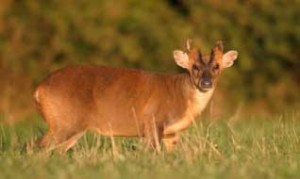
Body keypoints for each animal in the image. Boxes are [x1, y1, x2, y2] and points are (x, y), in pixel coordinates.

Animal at [34, 40, 238, 152]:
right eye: (194, 67)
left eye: (216, 67)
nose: (206, 83)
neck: (181, 95)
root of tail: (39, 90)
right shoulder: (153, 120)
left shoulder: (172, 133)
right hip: (65, 122)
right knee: (38, 146)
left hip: (70, 127)